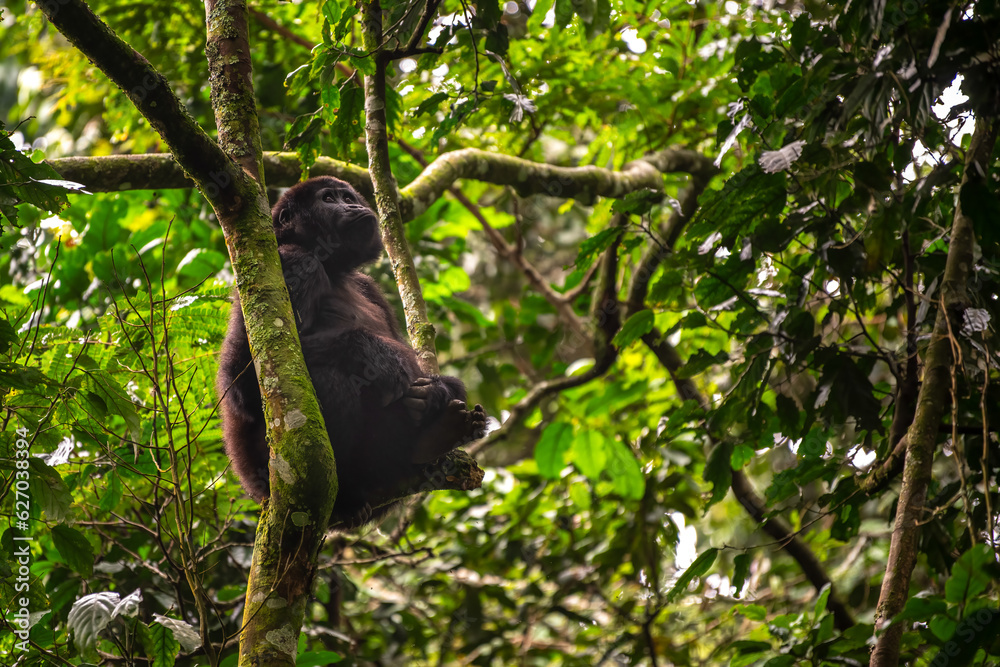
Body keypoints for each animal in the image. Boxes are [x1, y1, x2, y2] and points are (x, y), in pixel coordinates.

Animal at [216, 176, 487, 527]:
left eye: (347, 196)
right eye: (329, 199)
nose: (354, 206)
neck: (332, 267)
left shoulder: (369, 285)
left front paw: (435, 390)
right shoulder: (291, 261)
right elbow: (244, 384)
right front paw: (376, 356)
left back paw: (435, 435)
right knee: (329, 381)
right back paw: (342, 498)